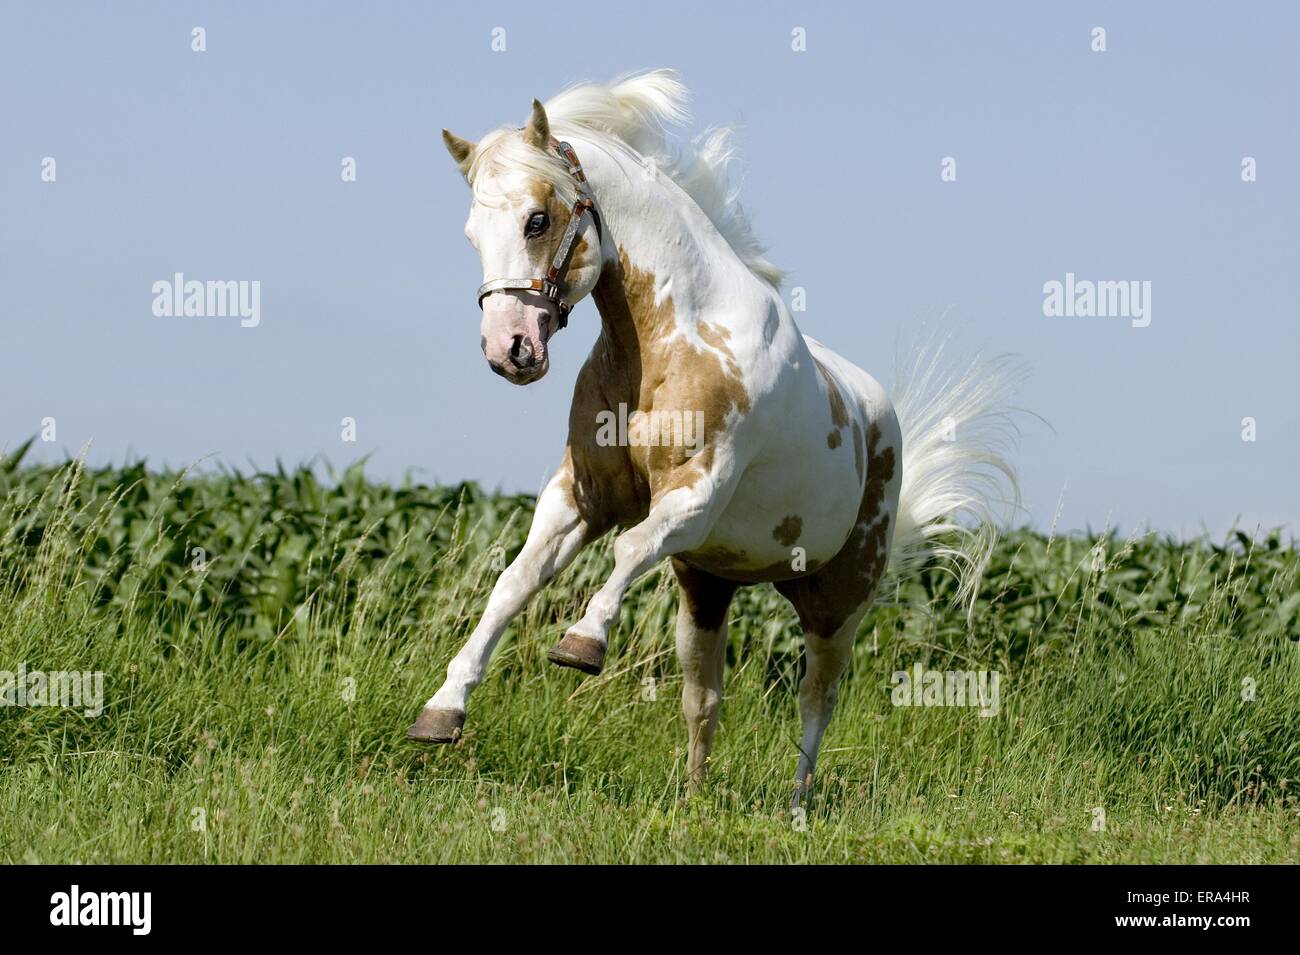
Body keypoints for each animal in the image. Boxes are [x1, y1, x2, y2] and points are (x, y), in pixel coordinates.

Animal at [405, 67, 1013, 805]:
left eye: (537, 219)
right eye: (472, 234)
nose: (508, 351)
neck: (676, 340)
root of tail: (883, 423)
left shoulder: (696, 494)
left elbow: (628, 548)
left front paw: (581, 643)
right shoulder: (581, 495)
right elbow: (515, 581)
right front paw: (442, 709)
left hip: (837, 601)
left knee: (817, 698)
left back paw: (795, 805)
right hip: (707, 589)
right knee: (704, 697)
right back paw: (694, 796)